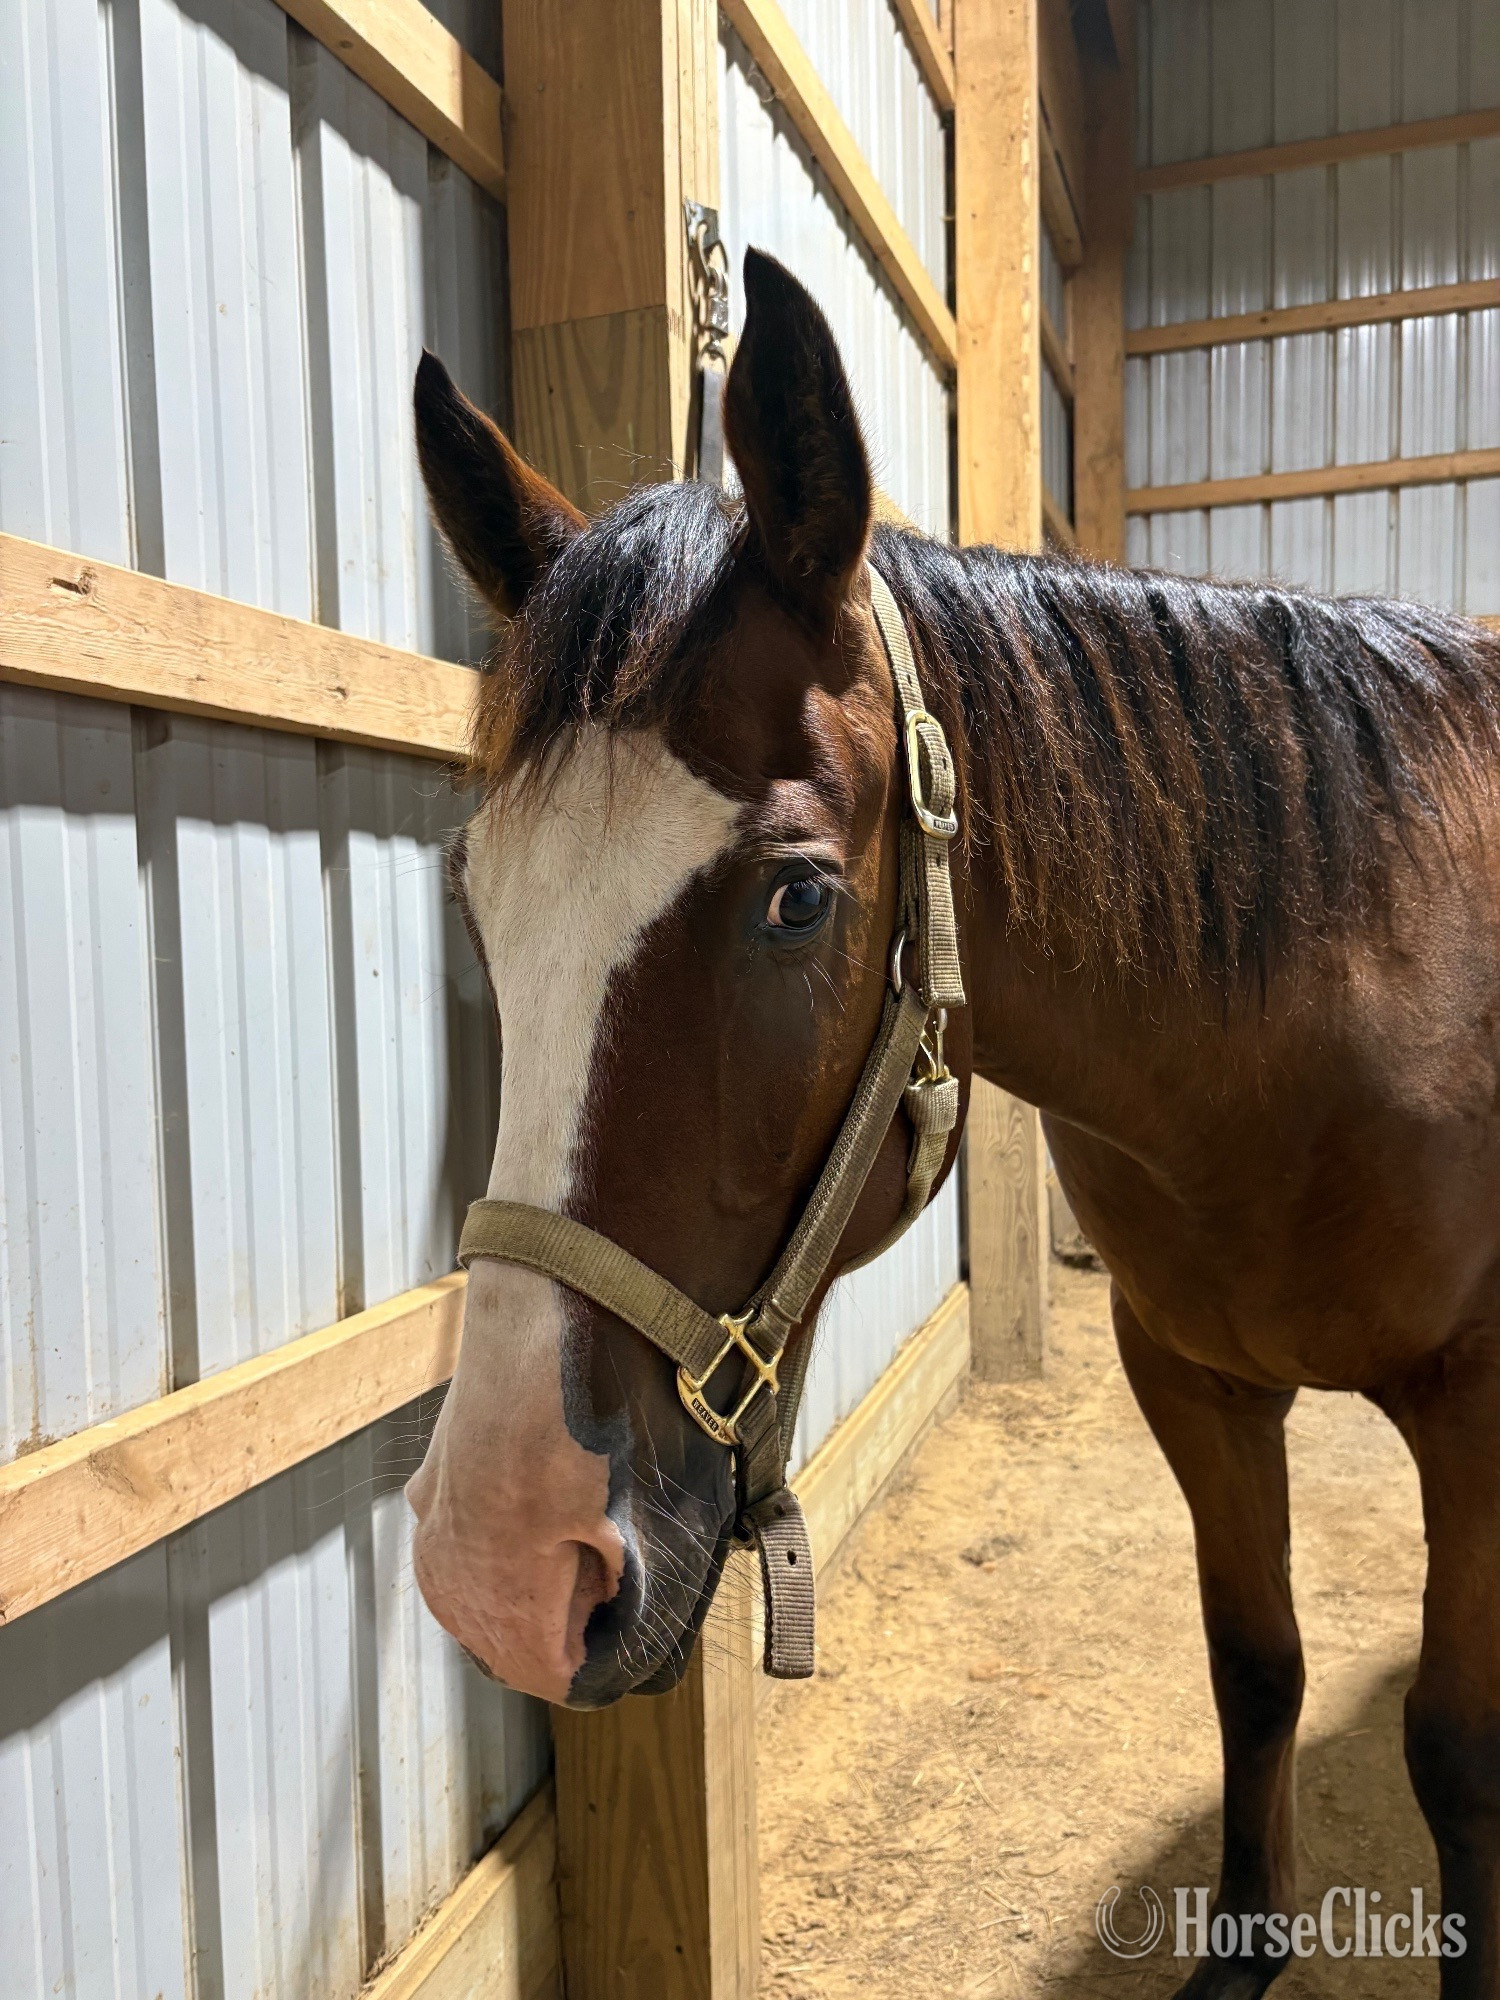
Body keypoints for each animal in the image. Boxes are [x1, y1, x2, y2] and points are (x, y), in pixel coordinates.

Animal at [405, 248, 1500, 1998]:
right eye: (478, 896)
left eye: (797, 898)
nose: (499, 1566)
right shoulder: (1190, 1378)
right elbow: (1253, 1662)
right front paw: (1240, 1949)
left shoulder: (1476, 1403)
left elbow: (1456, 1754)